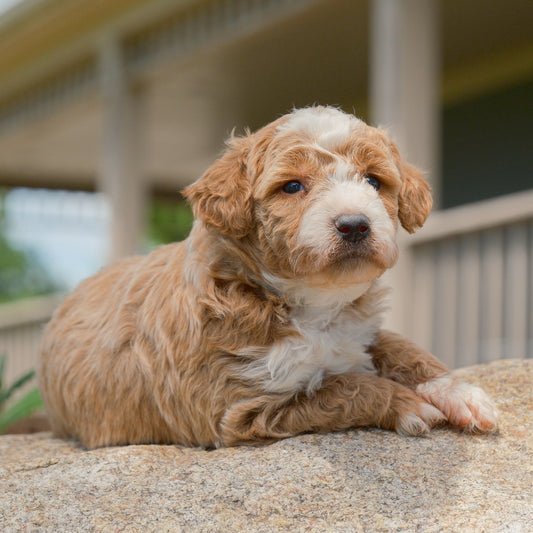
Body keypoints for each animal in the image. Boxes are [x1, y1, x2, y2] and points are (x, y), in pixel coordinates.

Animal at [38, 106, 498, 446]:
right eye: (292, 187)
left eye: (373, 180)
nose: (354, 225)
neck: (309, 305)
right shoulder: (238, 407)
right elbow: (342, 389)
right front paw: (407, 404)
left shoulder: (360, 331)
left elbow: (404, 348)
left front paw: (460, 393)